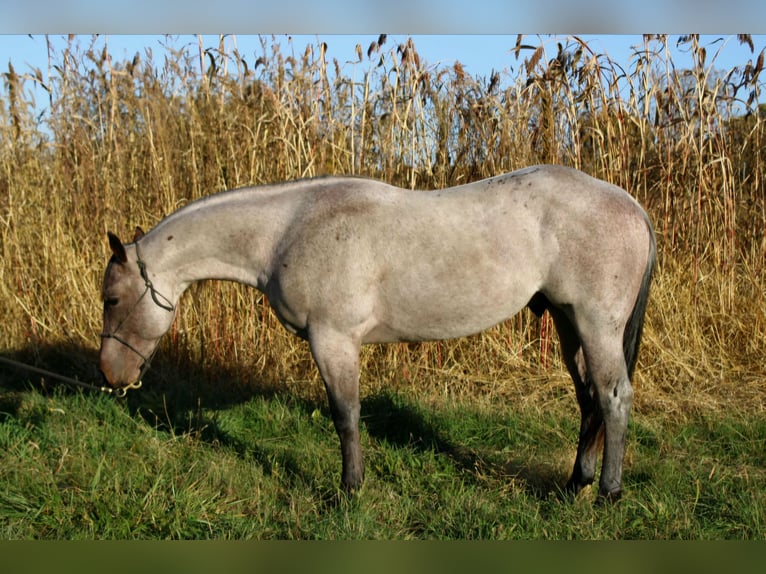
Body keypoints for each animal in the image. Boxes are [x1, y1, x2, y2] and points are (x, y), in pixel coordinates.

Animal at [99, 164, 656, 502]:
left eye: (111, 300)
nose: (110, 375)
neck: (289, 230)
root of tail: (631, 204)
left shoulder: (333, 339)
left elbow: (345, 417)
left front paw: (349, 489)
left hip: (595, 325)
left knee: (613, 397)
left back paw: (607, 493)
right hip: (568, 323)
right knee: (589, 400)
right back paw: (575, 483)